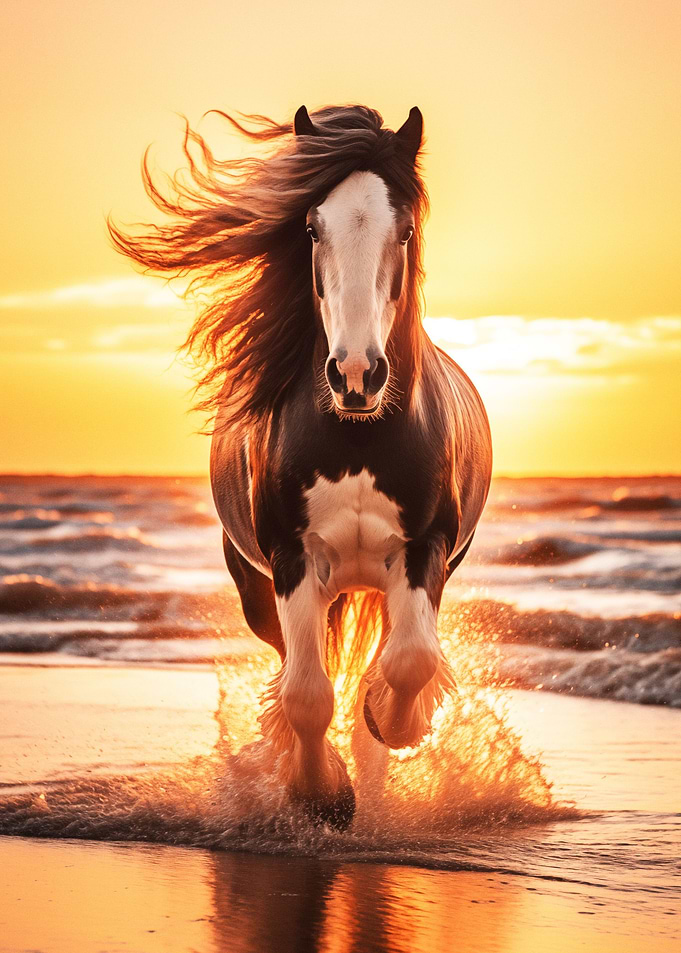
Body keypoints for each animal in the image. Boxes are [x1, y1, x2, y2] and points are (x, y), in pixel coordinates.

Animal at [110, 104, 492, 830]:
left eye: (405, 229)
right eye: (312, 227)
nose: (355, 375)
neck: (358, 440)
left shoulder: (424, 551)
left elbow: (407, 663)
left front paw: (385, 720)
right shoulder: (290, 558)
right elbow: (306, 693)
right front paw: (321, 795)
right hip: (261, 586)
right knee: (293, 666)